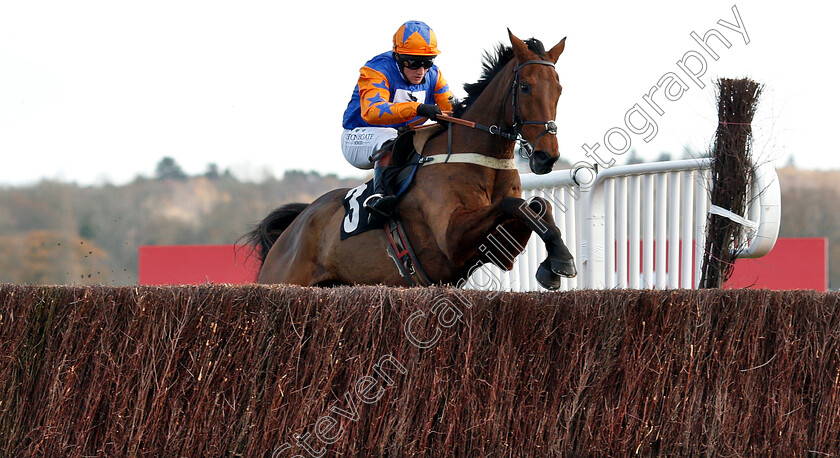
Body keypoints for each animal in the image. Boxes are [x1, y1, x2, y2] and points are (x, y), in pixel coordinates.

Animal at [244, 31, 576, 290]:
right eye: (525, 87)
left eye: (559, 89)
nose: (547, 156)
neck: (480, 160)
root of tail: (295, 226)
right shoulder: (451, 239)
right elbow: (515, 204)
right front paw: (560, 260)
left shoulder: (502, 250)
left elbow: (535, 206)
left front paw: (557, 260)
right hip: (284, 277)